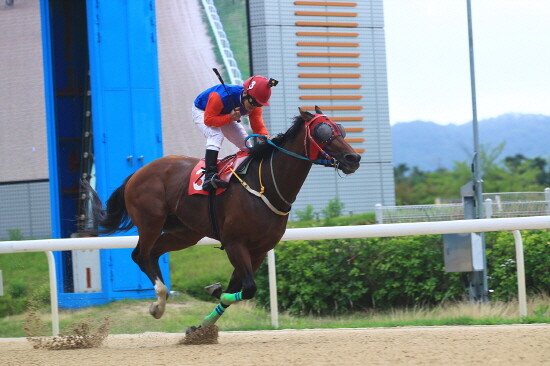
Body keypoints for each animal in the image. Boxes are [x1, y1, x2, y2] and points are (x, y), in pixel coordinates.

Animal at [86, 106, 362, 332]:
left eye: (341, 129)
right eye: (322, 131)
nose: (354, 158)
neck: (266, 185)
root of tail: (136, 173)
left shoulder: (259, 250)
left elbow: (237, 289)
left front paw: (202, 325)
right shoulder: (234, 244)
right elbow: (247, 288)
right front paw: (213, 292)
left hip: (184, 233)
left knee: (153, 254)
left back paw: (160, 301)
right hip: (151, 222)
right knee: (140, 255)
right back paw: (159, 304)